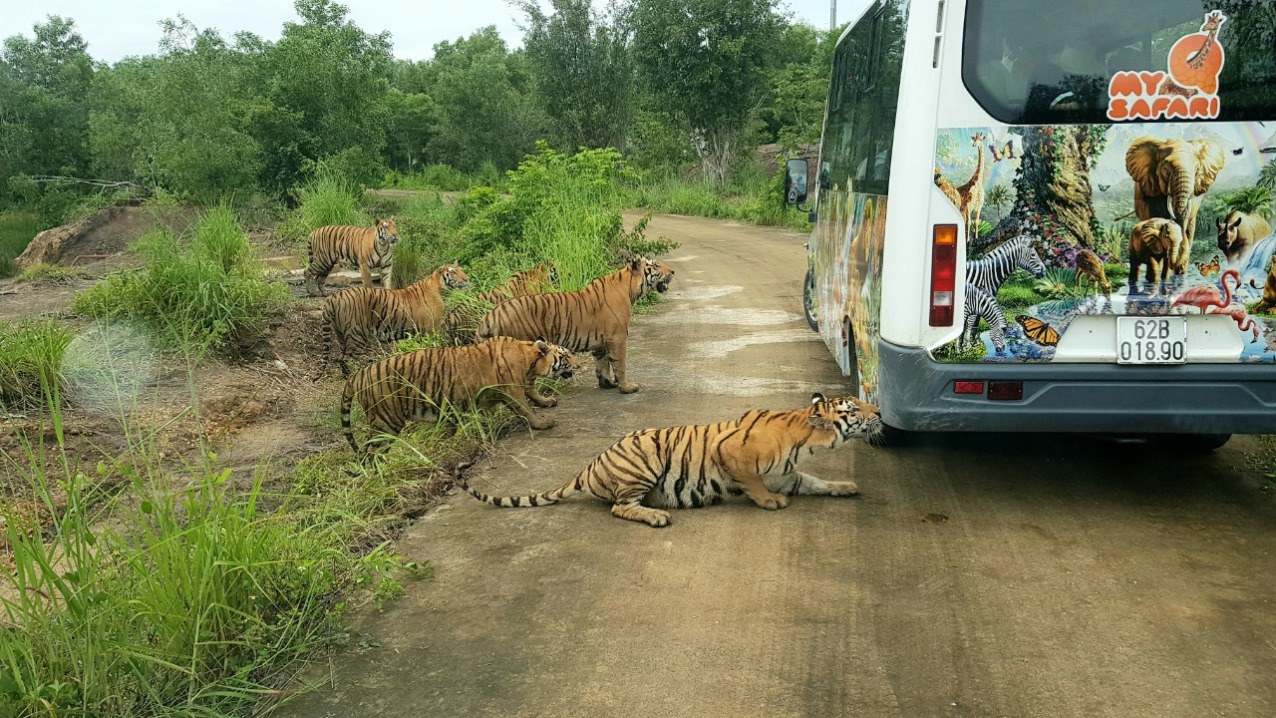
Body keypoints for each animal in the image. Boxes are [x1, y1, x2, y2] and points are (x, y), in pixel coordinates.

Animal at [326, 263, 472, 377]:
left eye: (461, 269)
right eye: (453, 272)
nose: (467, 279)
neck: (443, 290)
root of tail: (335, 295)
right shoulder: (433, 329)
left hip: (341, 334)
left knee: (341, 358)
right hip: (356, 335)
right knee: (347, 359)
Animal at [339, 339, 579, 461]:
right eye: (566, 355)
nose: (578, 365)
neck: (529, 360)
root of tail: (358, 374)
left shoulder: (524, 383)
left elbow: (533, 392)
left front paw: (546, 401)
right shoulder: (511, 389)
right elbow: (525, 408)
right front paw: (542, 423)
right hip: (385, 422)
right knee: (371, 454)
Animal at [454, 392, 882, 527]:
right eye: (853, 409)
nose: (878, 411)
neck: (805, 437)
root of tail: (590, 465)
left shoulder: (788, 474)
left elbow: (817, 482)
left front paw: (845, 486)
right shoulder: (733, 454)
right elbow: (753, 483)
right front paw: (769, 503)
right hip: (643, 463)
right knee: (619, 507)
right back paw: (657, 515)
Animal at [477, 257, 673, 392]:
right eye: (655, 265)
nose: (673, 271)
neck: (629, 288)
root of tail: (489, 317)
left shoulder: (600, 342)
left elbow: (602, 363)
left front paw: (606, 383)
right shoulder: (617, 338)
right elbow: (620, 364)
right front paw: (626, 387)